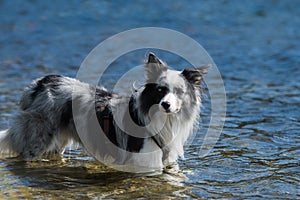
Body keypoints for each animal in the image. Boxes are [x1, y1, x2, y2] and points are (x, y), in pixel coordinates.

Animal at [0, 53, 209, 173]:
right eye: (160, 90)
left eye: (179, 92)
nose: (166, 104)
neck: (164, 120)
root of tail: (41, 83)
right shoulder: (145, 162)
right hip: (37, 141)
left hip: (57, 143)